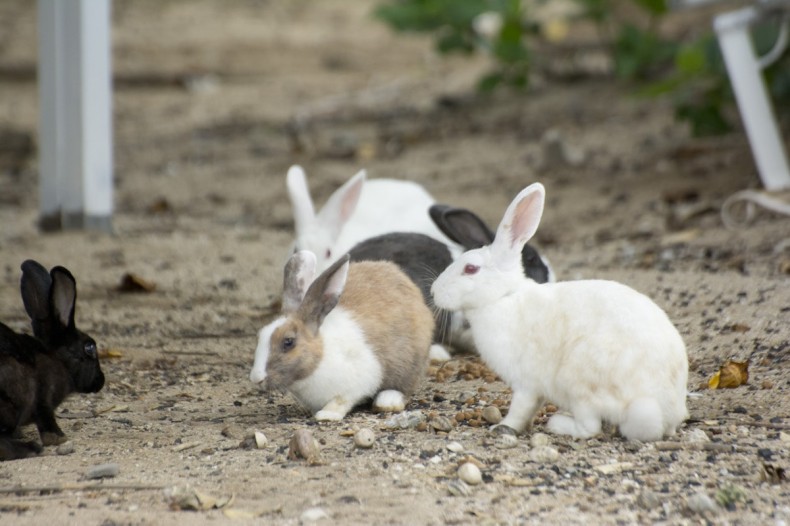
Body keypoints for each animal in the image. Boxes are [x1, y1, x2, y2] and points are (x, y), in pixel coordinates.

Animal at [0, 260, 106, 462]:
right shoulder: (43, 401)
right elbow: (48, 425)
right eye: (89, 347)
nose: (101, 381)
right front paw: (60, 439)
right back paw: (31, 448)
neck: (59, 360)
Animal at [251, 251, 434, 420]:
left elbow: (341, 401)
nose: (256, 379)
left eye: (288, 342)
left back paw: (387, 401)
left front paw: (326, 415)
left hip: (409, 363)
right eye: (260, 336)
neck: (321, 356)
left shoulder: (357, 382)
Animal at [430, 184, 688, 444]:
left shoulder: (526, 383)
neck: (503, 296)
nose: (433, 291)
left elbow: (519, 409)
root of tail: (666, 411)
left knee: (590, 427)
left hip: (578, 383)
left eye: (470, 268)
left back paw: (558, 424)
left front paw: (502, 427)